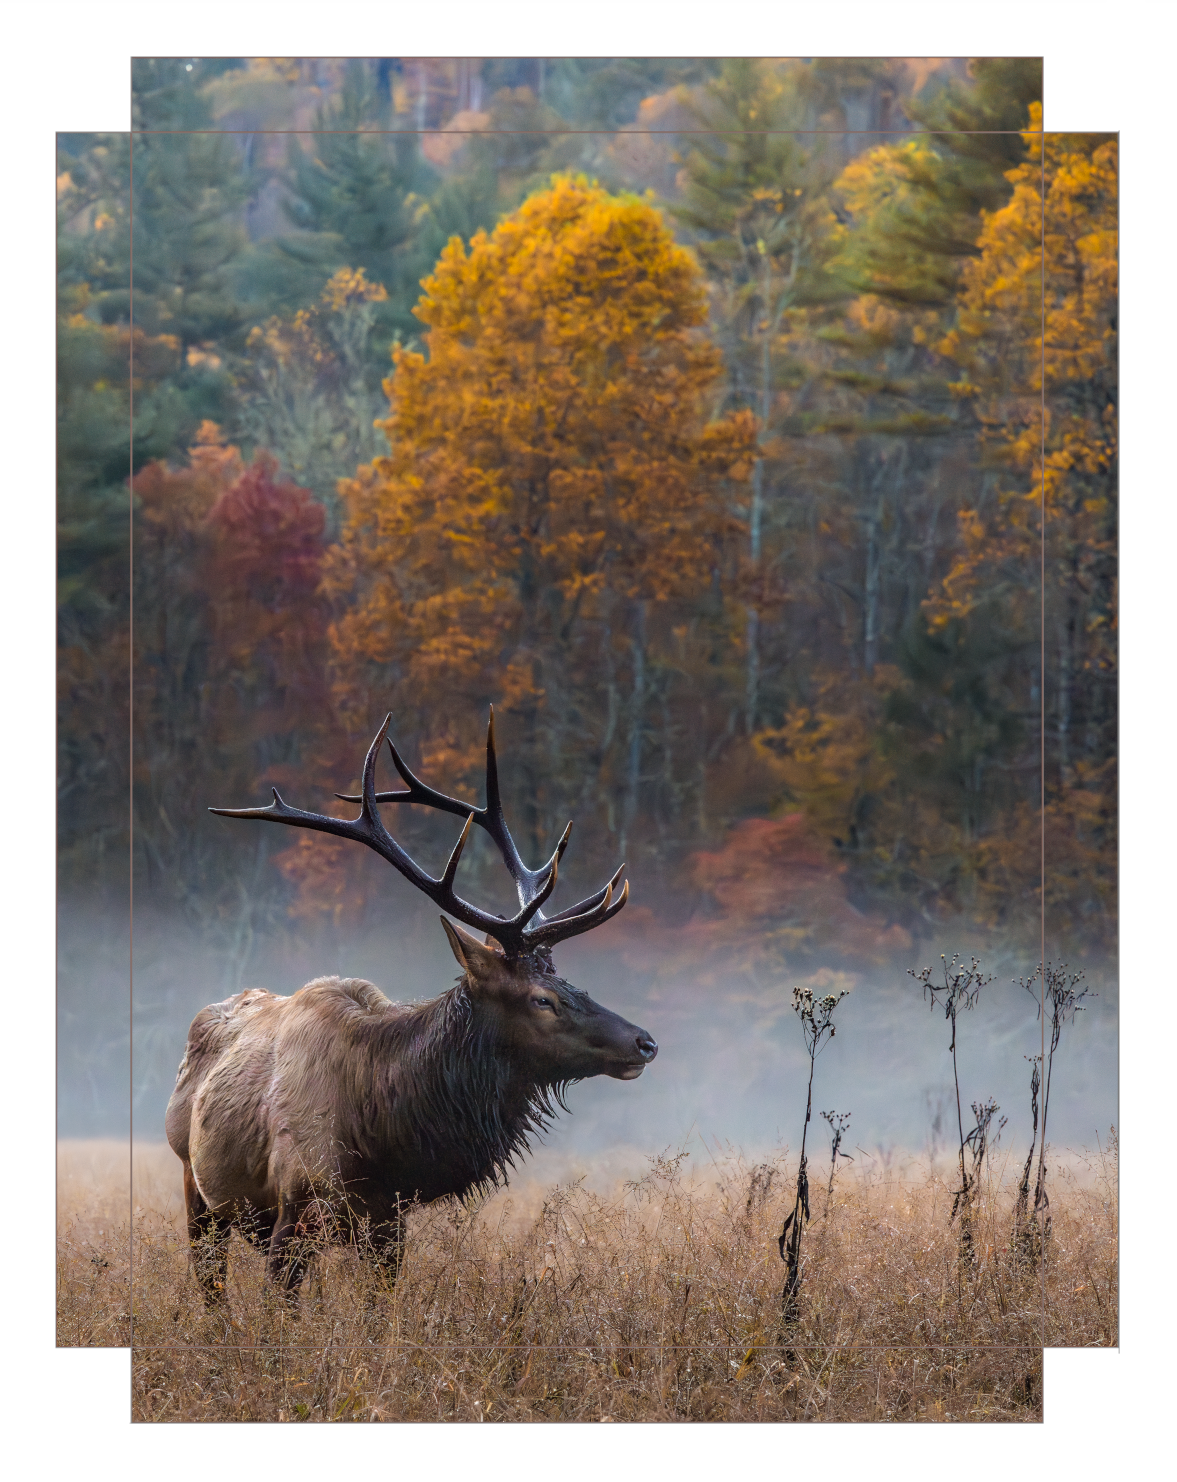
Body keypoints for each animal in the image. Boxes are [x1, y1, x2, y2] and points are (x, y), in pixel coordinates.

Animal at [165, 711, 655, 1304]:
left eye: (567, 981)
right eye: (543, 999)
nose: (644, 1042)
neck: (380, 1137)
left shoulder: (387, 1224)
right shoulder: (296, 1208)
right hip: (197, 1187)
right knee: (210, 1286)